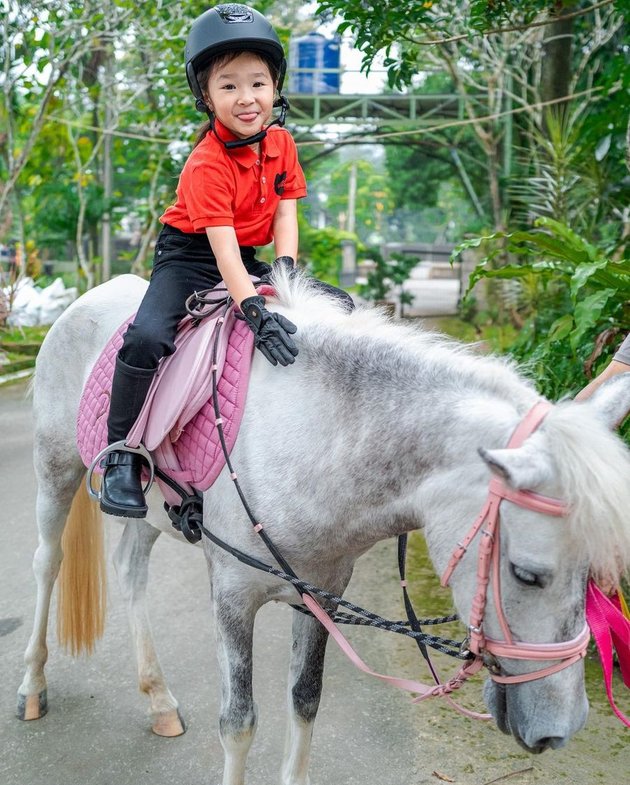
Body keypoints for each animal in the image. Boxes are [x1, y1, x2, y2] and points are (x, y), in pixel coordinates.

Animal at [16, 272, 630, 784]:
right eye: (526, 575)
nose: (559, 729)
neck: (313, 436)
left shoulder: (322, 595)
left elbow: (305, 702)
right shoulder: (232, 598)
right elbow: (238, 722)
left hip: (148, 511)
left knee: (130, 568)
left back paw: (159, 698)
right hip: (54, 467)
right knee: (47, 562)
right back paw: (32, 688)